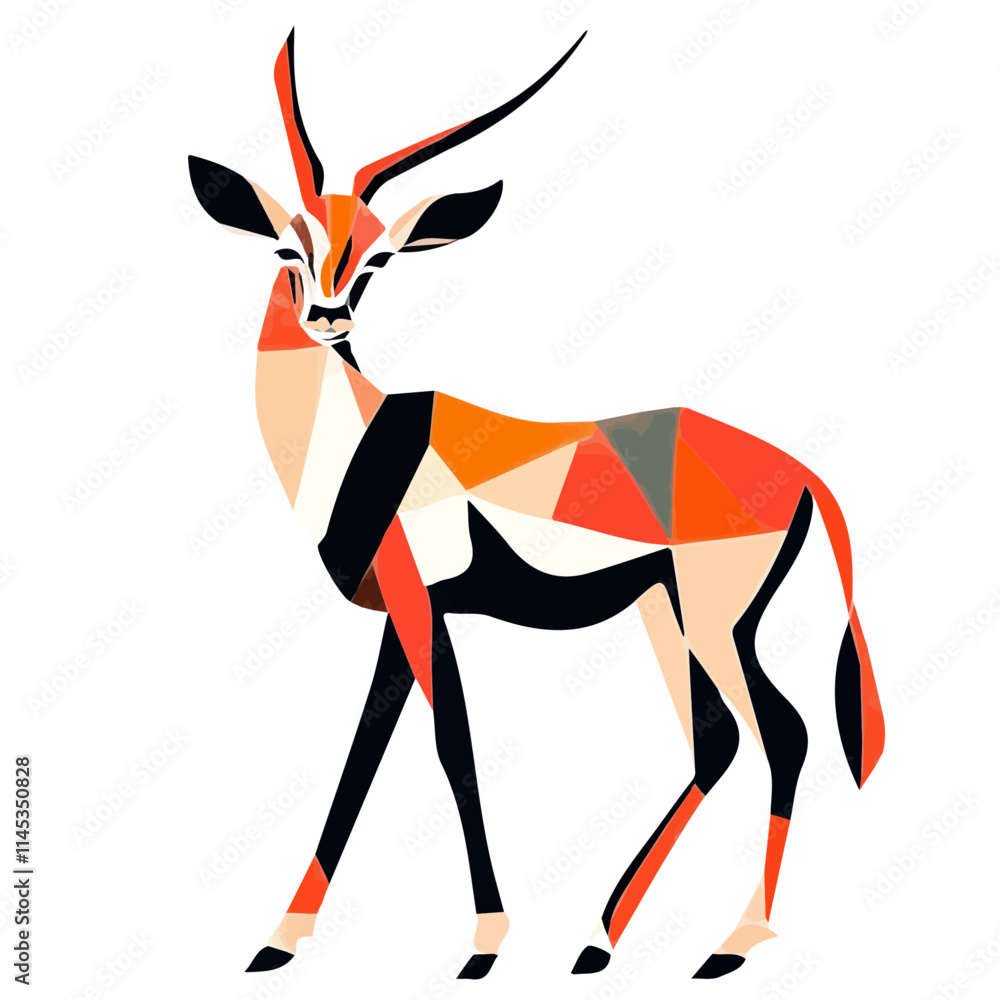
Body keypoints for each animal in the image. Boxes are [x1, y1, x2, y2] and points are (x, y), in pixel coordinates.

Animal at [188, 29, 885, 983]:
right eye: (286, 250)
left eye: (378, 256)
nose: (328, 316)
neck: (359, 438)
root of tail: (804, 472)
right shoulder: (400, 614)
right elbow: (366, 752)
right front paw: (280, 939)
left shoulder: (420, 604)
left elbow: (450, 744)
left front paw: (485, 943)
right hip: (666, 612)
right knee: (717, 740)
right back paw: (599, 940)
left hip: (713, 616)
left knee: (784, 732)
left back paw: (731, 946)